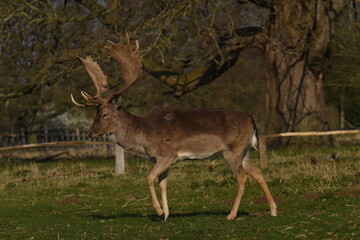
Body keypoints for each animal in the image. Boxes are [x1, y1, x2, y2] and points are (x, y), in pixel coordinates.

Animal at [71, 33, 278, 221]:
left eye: (104, 114)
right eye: (95, 113)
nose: (90, 133)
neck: (142, 136)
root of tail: (252, 120)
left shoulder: (166, 154)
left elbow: (149, 178)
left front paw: (158, 211)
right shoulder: (160, 159)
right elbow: (163, 183)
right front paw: (166, 214)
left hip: (232, 150)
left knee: (242, 177)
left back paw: (231, 214)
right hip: (245, 150)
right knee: (257, 172)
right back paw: (273, 210)